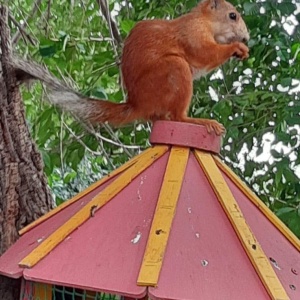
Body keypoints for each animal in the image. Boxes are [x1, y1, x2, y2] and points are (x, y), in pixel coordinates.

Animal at [14, 0, 250, 135]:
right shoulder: (192, 33)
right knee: (177, 117)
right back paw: (197, 120)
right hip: (173, 69)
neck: (204, 20)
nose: (246, 37)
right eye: (232, 16)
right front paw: (236, 47)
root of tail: (137, 104)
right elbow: (205, 53)